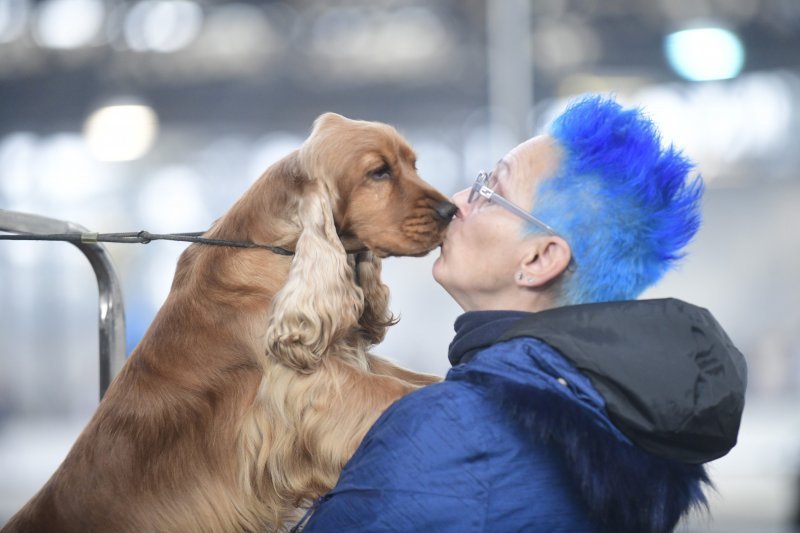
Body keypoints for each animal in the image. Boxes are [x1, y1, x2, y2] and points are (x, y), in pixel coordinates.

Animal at [3, 111, 456, 528]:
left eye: (413, 165)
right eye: (379, 172)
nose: (451, 209)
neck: (277, 250)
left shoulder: (343, 363)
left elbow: (422, 379)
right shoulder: (306, 390)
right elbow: (398, 393)